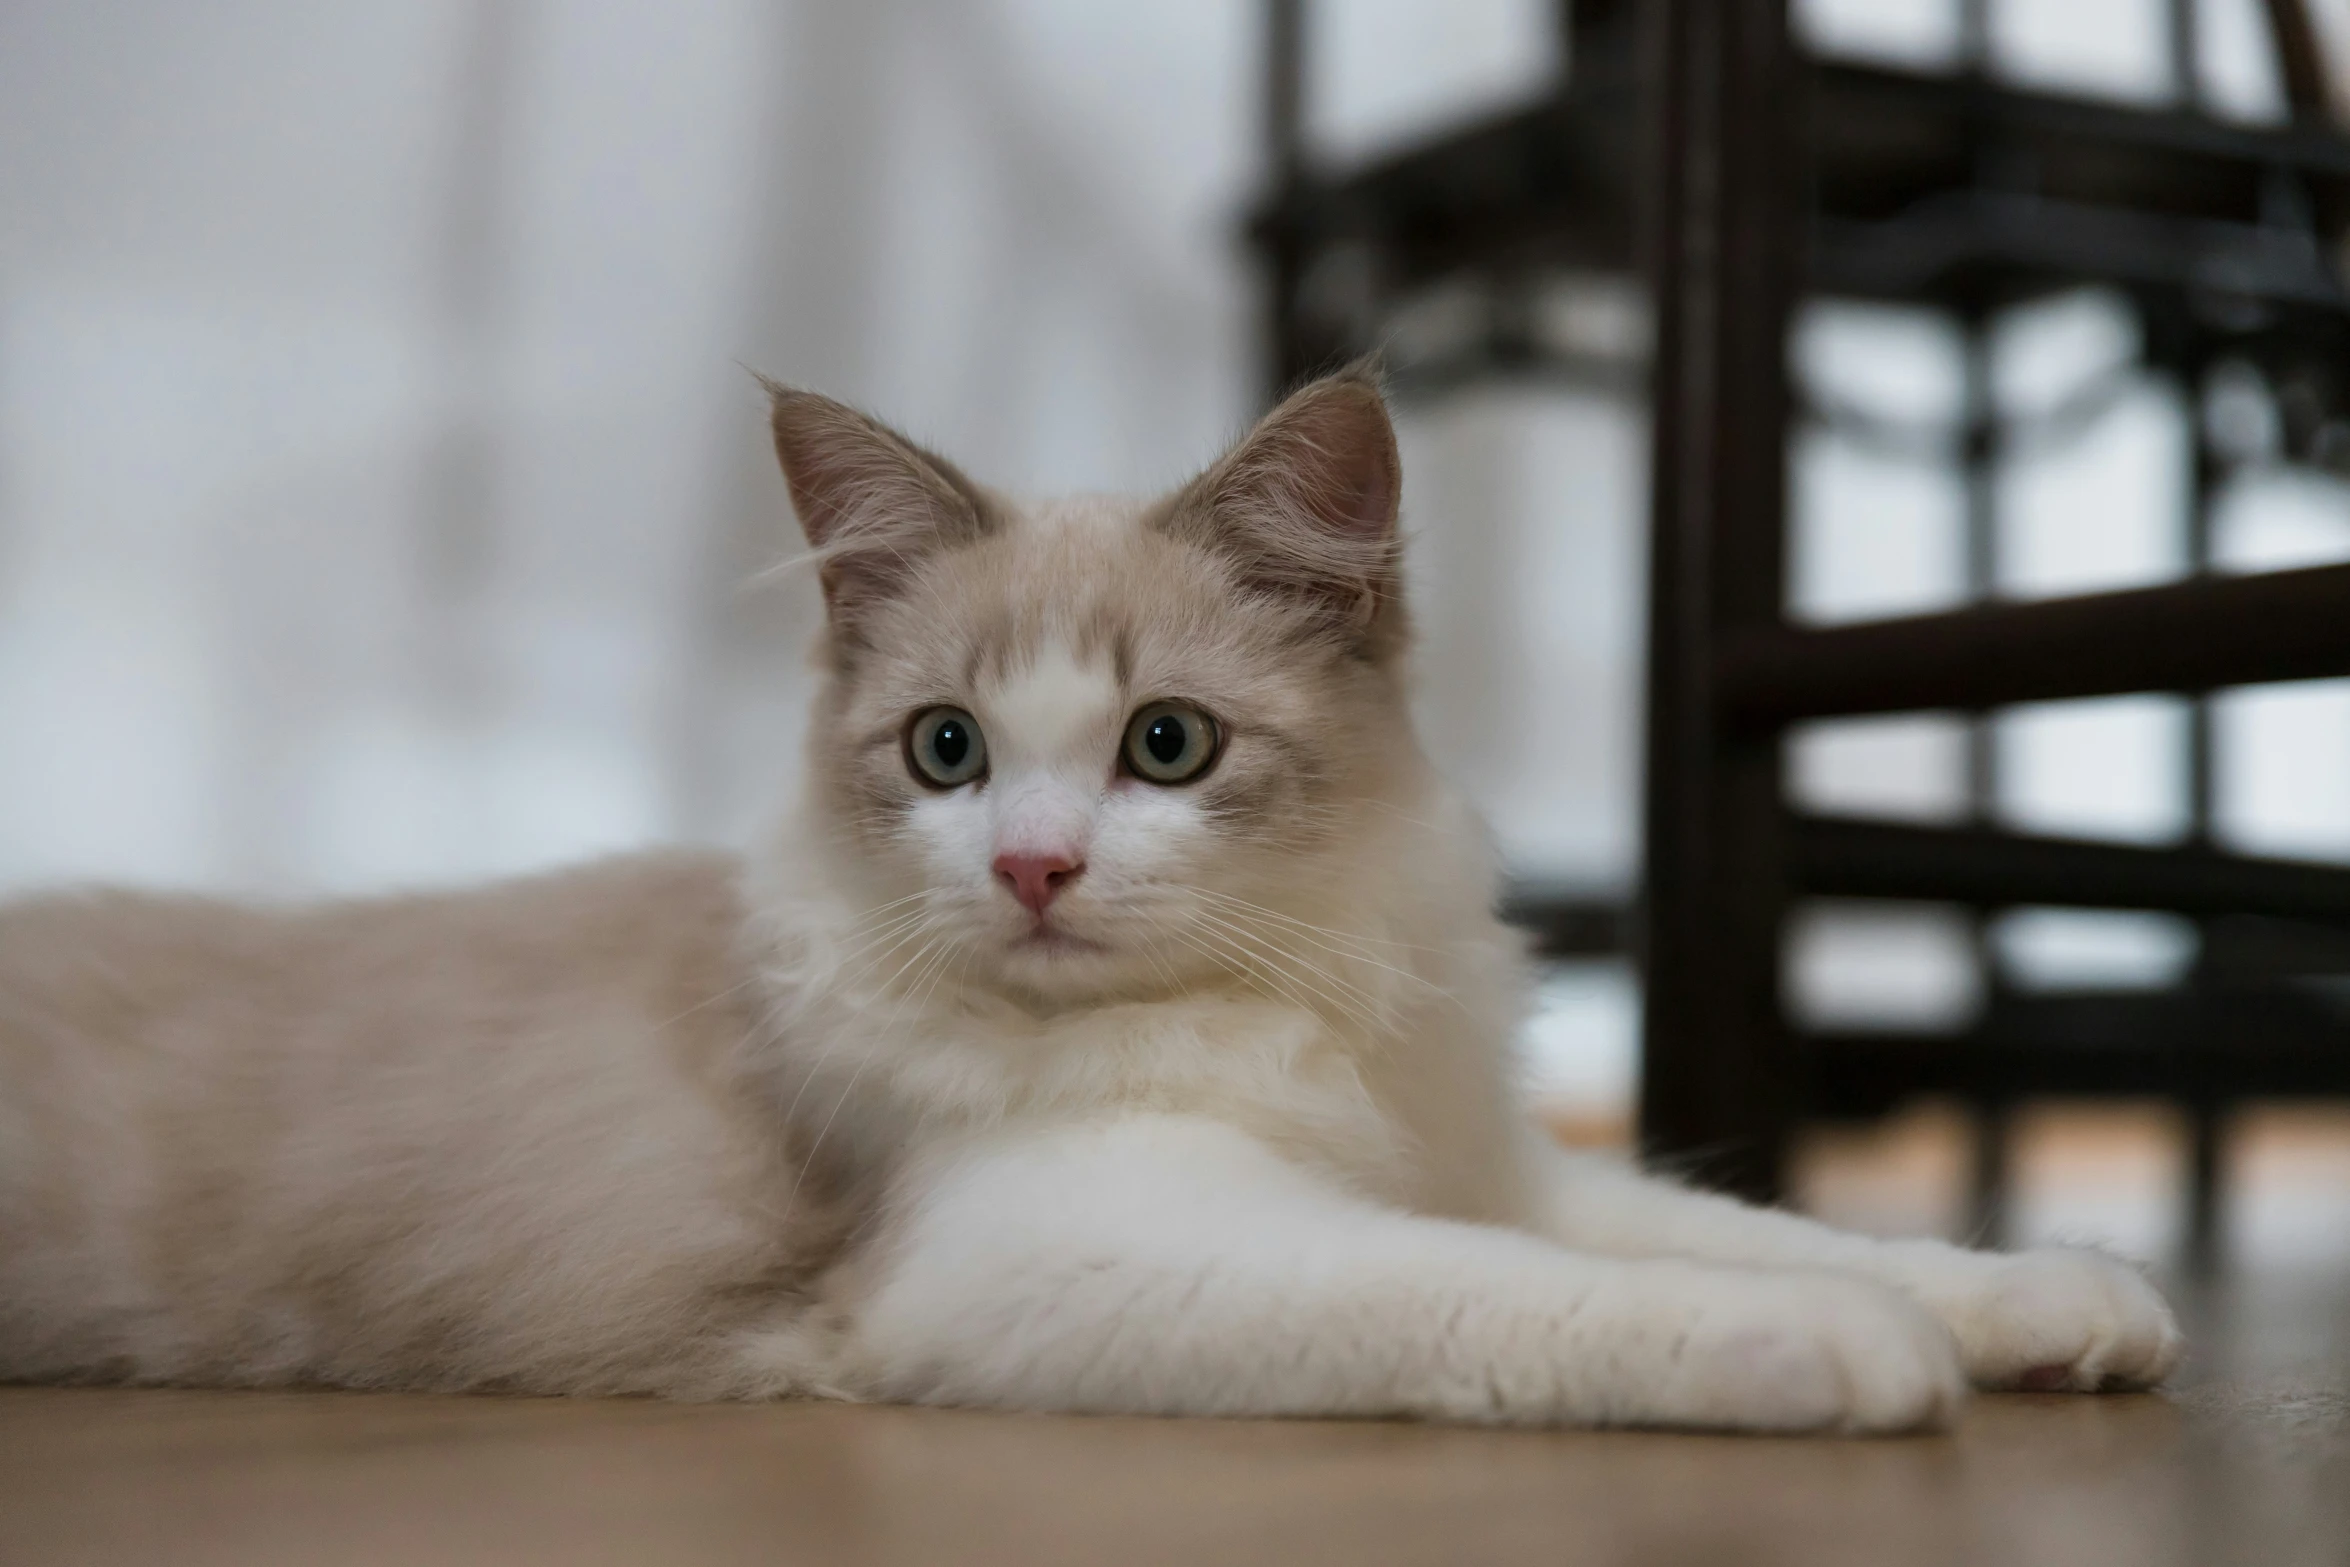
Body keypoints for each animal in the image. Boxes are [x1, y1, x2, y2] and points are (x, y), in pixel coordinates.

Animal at [0, 371, 2180, 1437]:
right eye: (946, 751)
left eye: (1166, 746)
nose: (1033, 867)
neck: (1260, 1012)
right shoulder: (1077, 1251)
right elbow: (1544, 1293)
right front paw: (1831, 1351)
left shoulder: (1469, 1153)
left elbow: (1745, 1220)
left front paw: (2049, 1302)